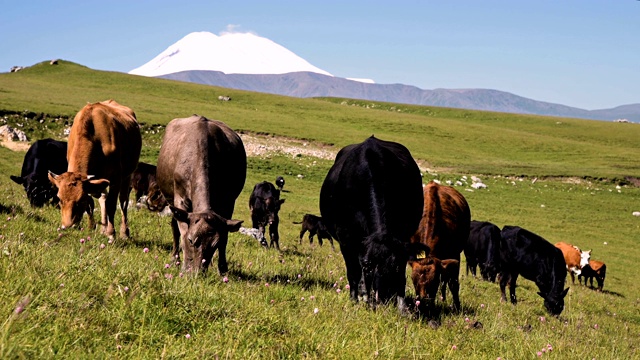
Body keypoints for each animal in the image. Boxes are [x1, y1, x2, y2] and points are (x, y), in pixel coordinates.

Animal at [47, 100, 141, 239]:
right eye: (59, 198)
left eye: (80, 199)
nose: (67, 226)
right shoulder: (92, 183)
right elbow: (91, 203)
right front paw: (92, 227)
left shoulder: (116, 178)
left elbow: (111, 205)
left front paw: (111, 233)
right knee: (103, 198)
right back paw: (103, 228)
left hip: (128, 175)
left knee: (123, 201)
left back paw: (124, 232)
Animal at [156, 115, 246, 272]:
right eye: (191, 240)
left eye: (215, 244)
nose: (197, 272)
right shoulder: (180, 199)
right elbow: (182, 230)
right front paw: (184, 265)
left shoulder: (228, 202)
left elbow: (225, 235)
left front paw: (222, 268)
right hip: (171, 199)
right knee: (174, 226)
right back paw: (175, 258)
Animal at [318, 136, 424, 314]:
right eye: (368, 266)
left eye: (395, 267)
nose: (383, 300)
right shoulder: (346, 239)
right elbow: (353, 272)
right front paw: (355, 299)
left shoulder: (403, 238)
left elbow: (401, 277)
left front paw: (402, 308)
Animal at [410, 181, 470, 310]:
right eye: (413, 280)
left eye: (434, 281)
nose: (423, 303)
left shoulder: (455, 254)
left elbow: (453, 283)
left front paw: (457, 306)